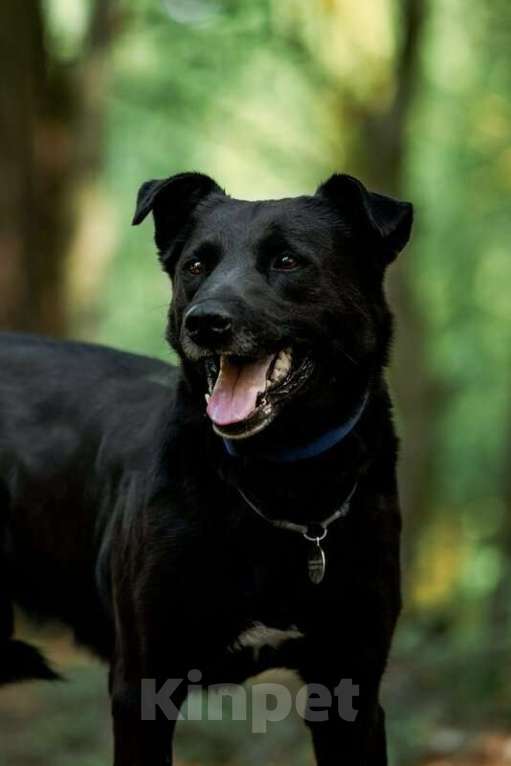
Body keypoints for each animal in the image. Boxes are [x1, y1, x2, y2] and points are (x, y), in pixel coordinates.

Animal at [0, 171, 412, 764]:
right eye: (196, 265)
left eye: (287, 261)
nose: (207, 323)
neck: (282, 486)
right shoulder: (141, 689)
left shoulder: (350, 693)